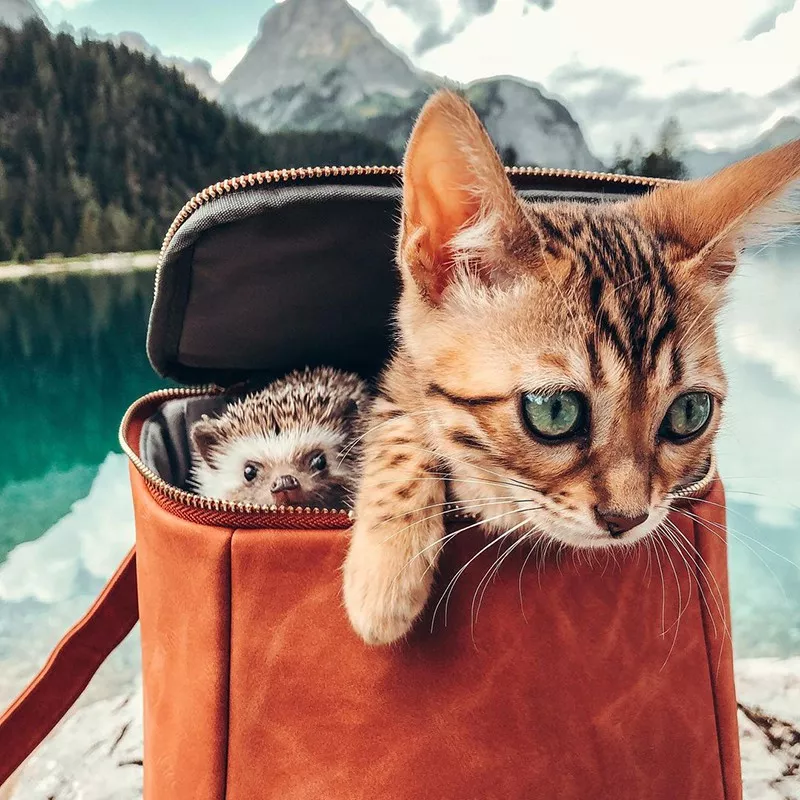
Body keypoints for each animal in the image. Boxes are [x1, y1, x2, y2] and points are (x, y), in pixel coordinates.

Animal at [342, 90, 800, 648]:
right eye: (555, 411)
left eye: (690, 413)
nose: (627, 518)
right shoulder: (397, 379)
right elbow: (402, 422)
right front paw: (386, 568)